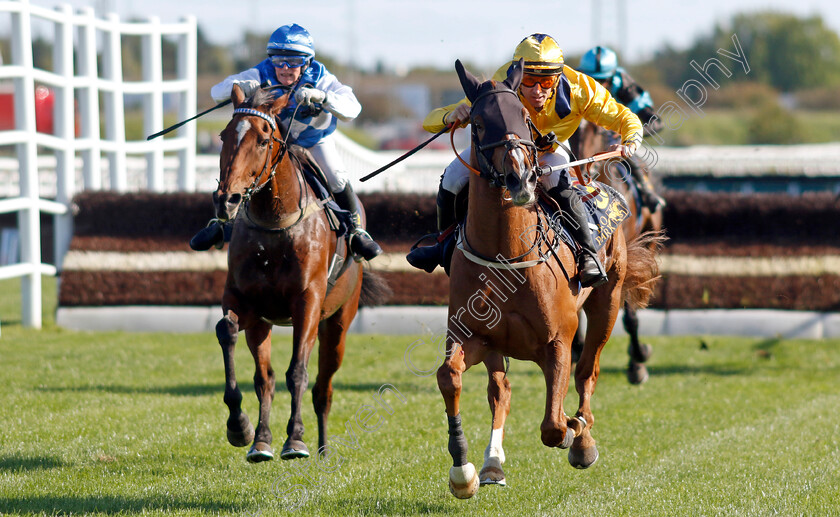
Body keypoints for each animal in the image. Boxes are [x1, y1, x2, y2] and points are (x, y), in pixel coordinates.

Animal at [213, 85, 390, 464]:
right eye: (224, 135)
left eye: (264, 140)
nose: (227, 199)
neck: (274, 225)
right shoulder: (244, 301)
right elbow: (227, 331)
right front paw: (239, 426)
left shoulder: (307, 302)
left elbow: (297, 371)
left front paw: (295, 439)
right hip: (264, 323)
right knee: (264, 378)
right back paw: (261, 441)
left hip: (338, 323)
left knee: (324, 387)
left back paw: (322, 447)